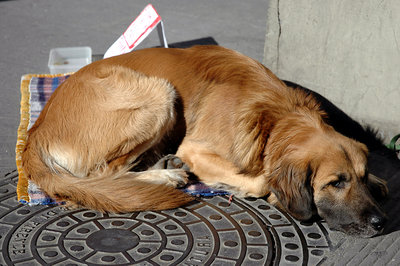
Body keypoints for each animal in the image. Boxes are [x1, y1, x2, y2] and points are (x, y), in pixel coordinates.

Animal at [21, 45, 388, 237]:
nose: (381, 222)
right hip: (159, 92)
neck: (274, 119)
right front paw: (263, 190)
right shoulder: (195, 147)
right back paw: (165, 175)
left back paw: (164, 164)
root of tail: (35, 132)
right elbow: (259, 181)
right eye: (335, 183)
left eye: (360, 177)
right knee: (103, 175)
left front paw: (379, 181)